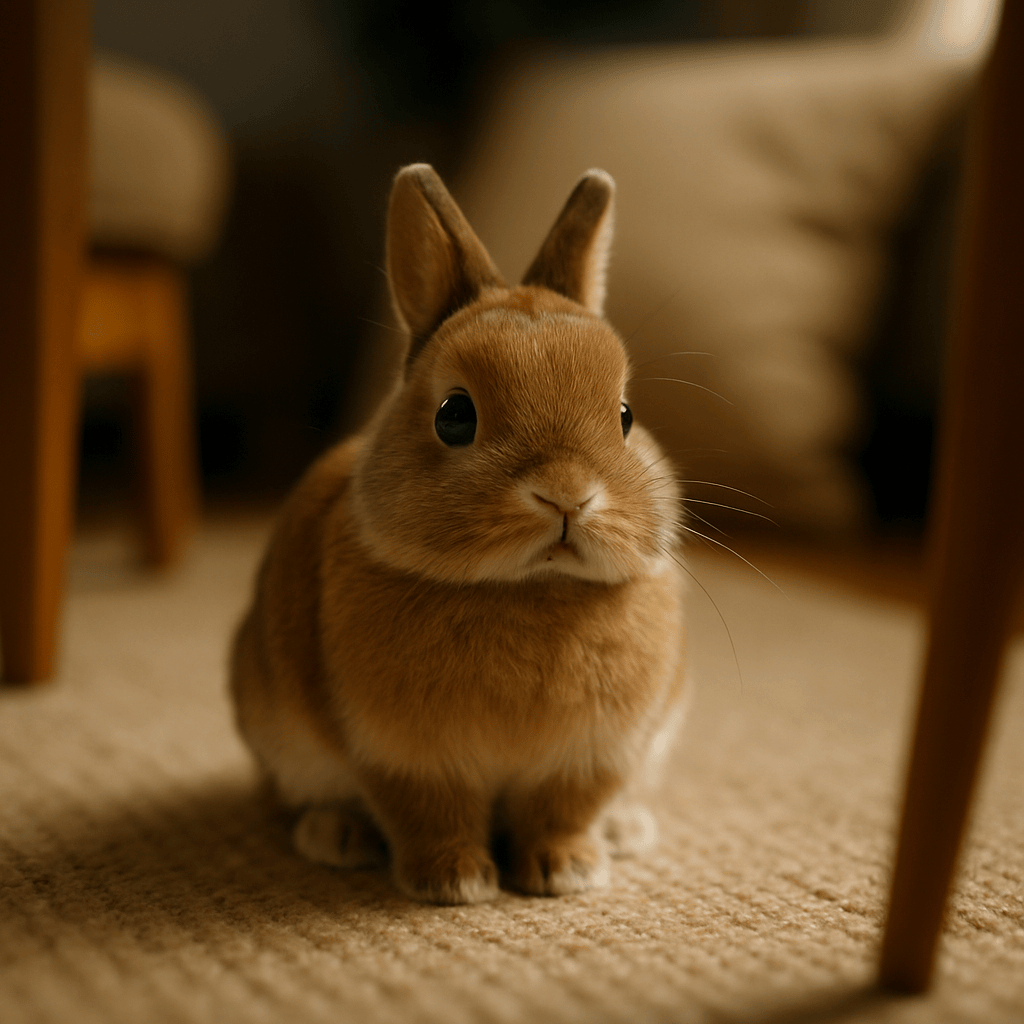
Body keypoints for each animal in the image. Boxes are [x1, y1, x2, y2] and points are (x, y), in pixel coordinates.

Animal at [230, 163, 688, 905]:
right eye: (453, 416)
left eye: (624, 415)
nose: (568, 496)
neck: (531, 588)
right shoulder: (405, 757)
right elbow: (430, 813)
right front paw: (456, 882)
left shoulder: (591, 757)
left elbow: (562, 811)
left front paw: (567, 871)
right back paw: (336, 836)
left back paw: (624, 831)